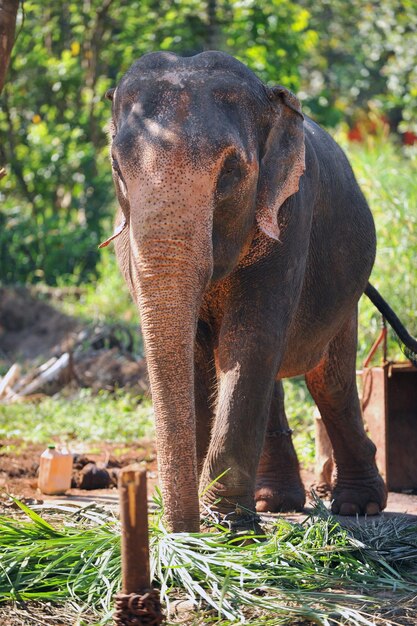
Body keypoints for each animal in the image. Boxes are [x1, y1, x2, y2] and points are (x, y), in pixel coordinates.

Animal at [101, 51, 416, 532]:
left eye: (231, 171)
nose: (179, 531)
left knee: (329, 380)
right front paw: (208, 526)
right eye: (118, 169)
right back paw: (274, 502)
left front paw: (228, 527)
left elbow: (250, 340)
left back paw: (356, 506)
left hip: (346, 292)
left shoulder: (292, 214)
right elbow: (199, 354)